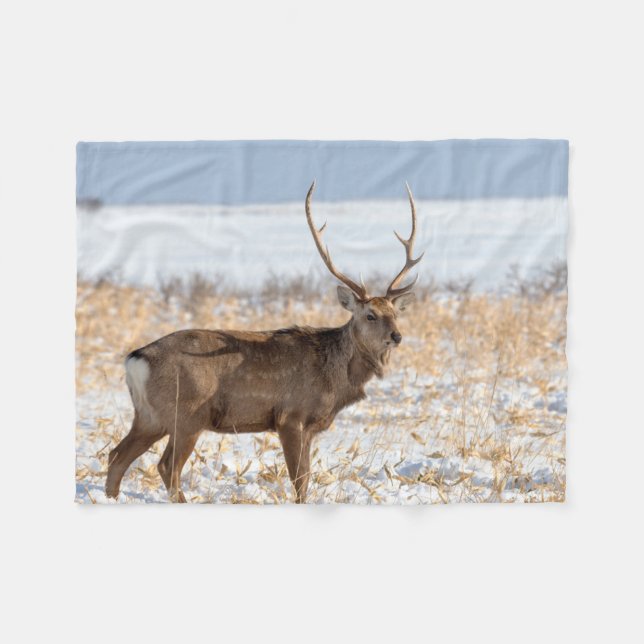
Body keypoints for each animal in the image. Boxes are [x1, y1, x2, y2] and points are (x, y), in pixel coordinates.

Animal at [105, 181, 424, 503]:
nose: (396, 336)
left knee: (117, 455)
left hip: (150, 416)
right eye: (370, 315)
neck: (335, 379)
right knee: (166, 466)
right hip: (187, 413)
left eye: (395, 313)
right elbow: (300, 481)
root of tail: (135, 359)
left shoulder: (309, 426)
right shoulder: (290, 416)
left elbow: (305, 478)